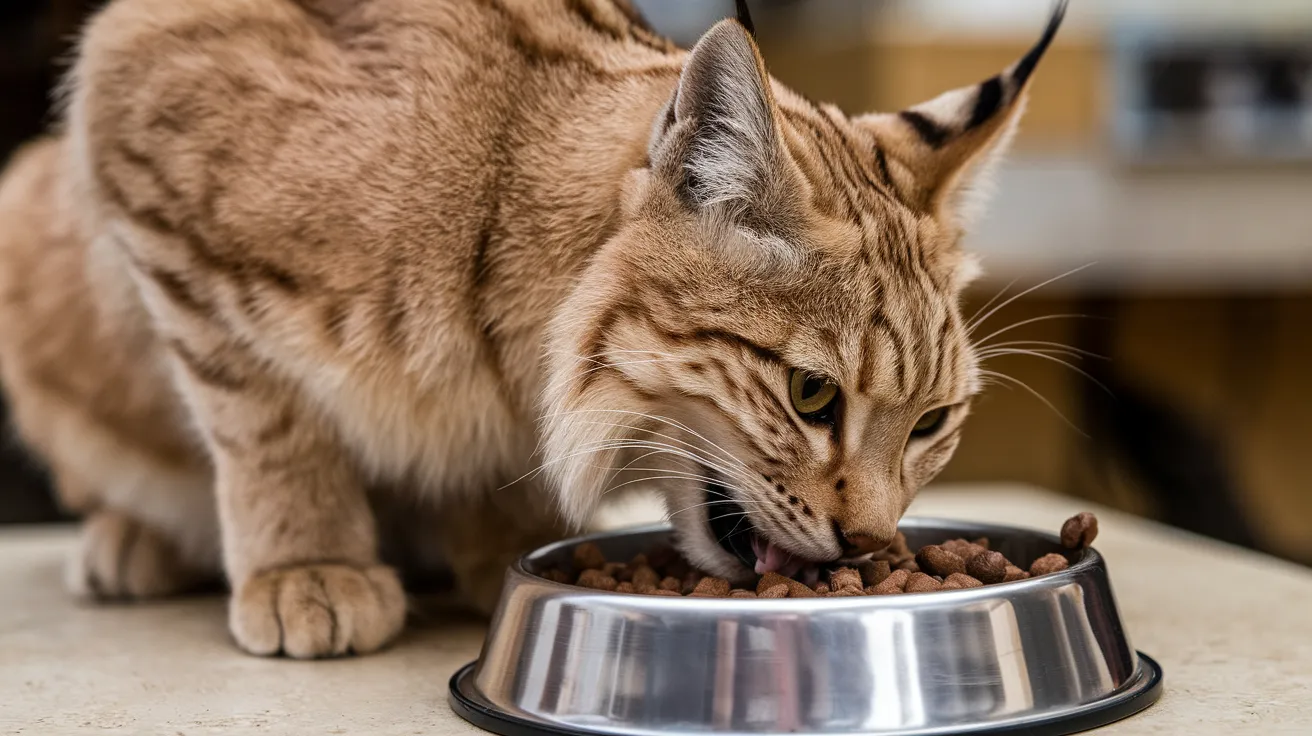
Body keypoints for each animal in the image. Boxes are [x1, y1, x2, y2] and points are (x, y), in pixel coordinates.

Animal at [0, 0, 1065, 655]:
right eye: (811, 395)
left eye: (932, 424)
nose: (868, 550)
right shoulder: (138, 99)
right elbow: (261, 407)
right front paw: (308, 561)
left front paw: (498, 543)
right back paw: (135, 541)